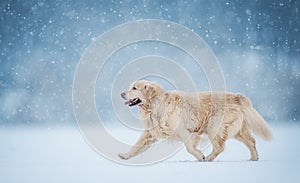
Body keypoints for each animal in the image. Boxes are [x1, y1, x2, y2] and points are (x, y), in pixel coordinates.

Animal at [118, 80, 272, 162]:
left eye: (134, 88)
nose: (121, 93)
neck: (156, 104)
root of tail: (237, 97)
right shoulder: (151, 133)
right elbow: (137, 146)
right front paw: (124, 155)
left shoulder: (184, 130)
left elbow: (189, 147)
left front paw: (200, 156)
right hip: (236, 130)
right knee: (251, 141)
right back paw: (254, 158)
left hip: (213, 126)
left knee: (220, 147)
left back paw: (208, 158)